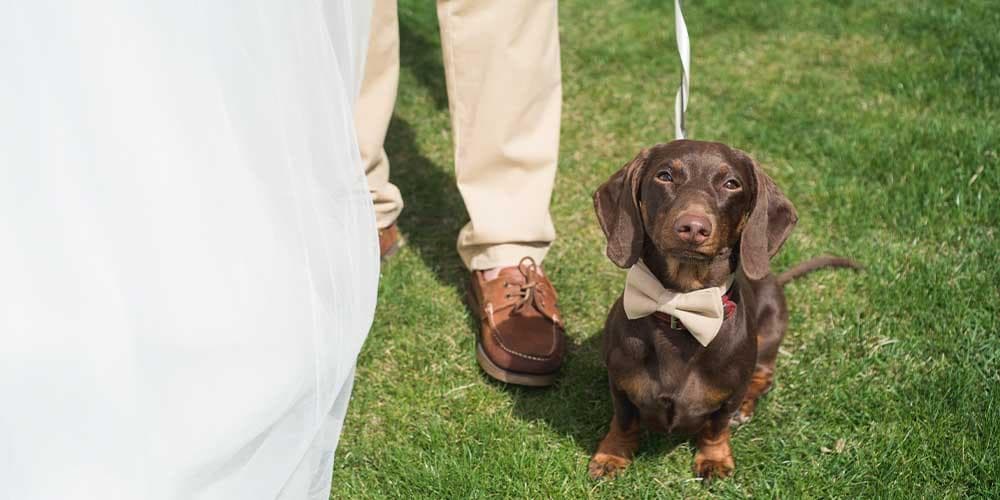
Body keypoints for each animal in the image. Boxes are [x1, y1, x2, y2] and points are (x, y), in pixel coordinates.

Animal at [592, 140, 860, 480]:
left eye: (731, 183)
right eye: (664, 176)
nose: (693, 227)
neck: (681, 308)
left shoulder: (728, 395)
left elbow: (716, 427)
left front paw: (715, 459)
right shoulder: (620, 385)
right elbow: (624, 419)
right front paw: (612, 456)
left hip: (770, 332)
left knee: (763, 376)